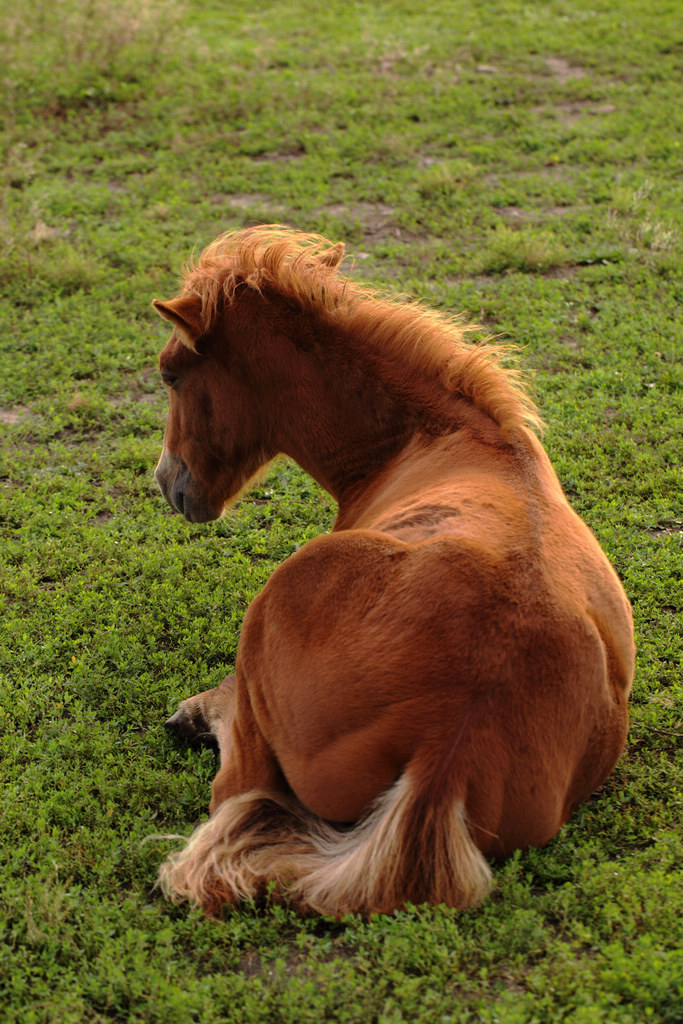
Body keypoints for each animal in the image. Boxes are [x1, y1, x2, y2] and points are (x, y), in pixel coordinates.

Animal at [150, 226, 634, 921]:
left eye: (170, 374)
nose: (168, 484)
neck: (437, 435)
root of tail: (450, 742)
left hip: (273, 603)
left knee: (236, 789)